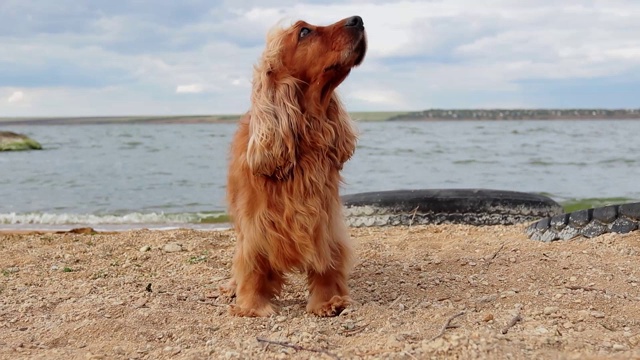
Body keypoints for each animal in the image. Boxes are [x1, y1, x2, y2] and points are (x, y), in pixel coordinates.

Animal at [222, 15, 368, 316]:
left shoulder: (323, 216)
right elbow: (252, 262)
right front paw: (252, 305)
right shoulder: (255, 221)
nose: (358, 19)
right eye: (304, 32)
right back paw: (232, 287)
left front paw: (328, 301)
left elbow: (326, 260)